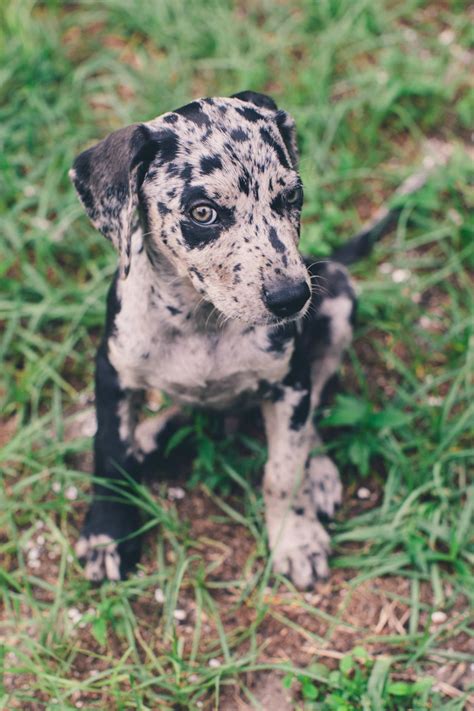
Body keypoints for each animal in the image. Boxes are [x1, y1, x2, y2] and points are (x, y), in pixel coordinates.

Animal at [69, 90, 418, 588]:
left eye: (292, 196)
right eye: (203, 212)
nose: (292, 298)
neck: (203, 323)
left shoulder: (290, 382)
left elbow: (283, 471)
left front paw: (295, 536)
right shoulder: (113, 371)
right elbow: (110, 453)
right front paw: (107, 536)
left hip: (337, 300)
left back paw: (318, 471)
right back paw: (150, 437)